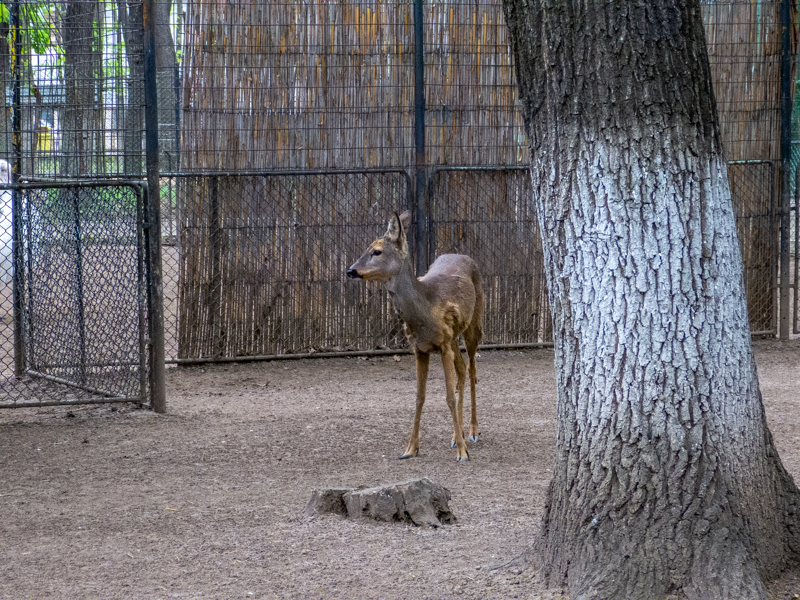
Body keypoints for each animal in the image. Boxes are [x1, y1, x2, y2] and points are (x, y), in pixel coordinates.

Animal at [347, 210, 484, 462]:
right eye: (366, 247)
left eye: (377, 251)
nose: (350, 270)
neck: (424, 310)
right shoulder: (420, 348)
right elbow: (419, 397)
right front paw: (410, 449)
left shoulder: (443, 344)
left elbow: (449, 397)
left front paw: (462, 453)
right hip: (454, 338)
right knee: (462, 370)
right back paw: (455, 435)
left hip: (474, 323)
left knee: (472, 371)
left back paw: (472, 432)